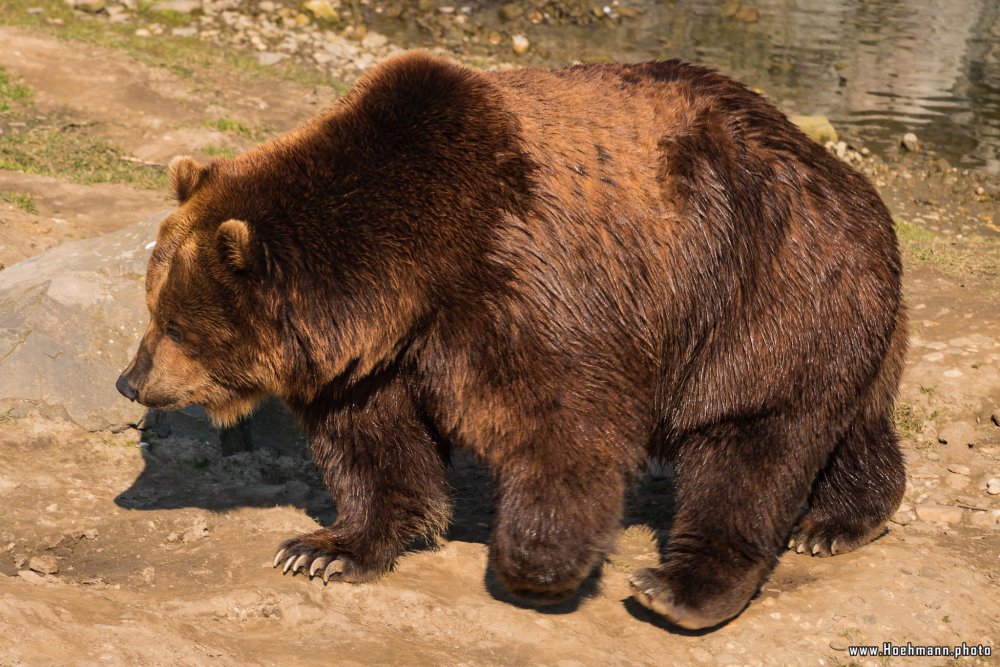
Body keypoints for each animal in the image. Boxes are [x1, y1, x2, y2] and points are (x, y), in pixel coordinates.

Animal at [115, 52, 908, 632]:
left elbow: (564, 423)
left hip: (761, 289)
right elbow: (374, 448)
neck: (409, 269)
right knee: (842, 426)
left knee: (750, 438)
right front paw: (325, 549)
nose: (130, 380)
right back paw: (837, 519)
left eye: (176, 322)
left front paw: (535, 564)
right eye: (152, 305)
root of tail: (850, 181)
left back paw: (687, 584)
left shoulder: (527, 285)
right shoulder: (374, 361)